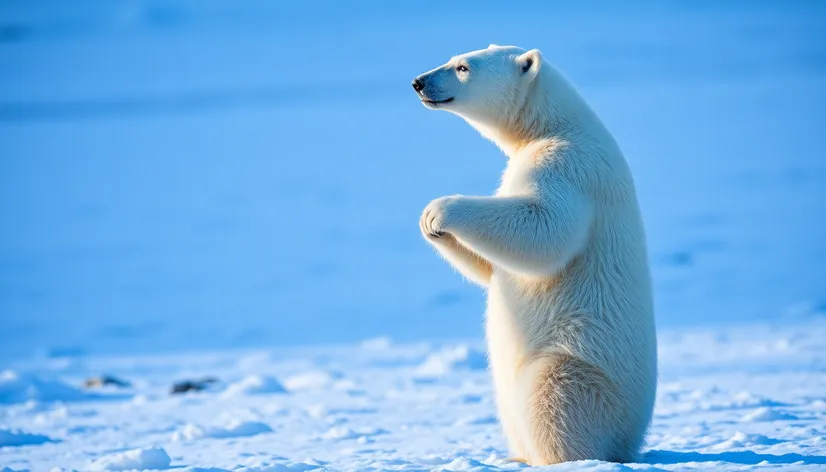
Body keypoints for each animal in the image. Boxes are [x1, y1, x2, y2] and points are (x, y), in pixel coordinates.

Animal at [412, 45, 656, 464]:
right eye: (455, 57)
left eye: (463, 67)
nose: (419, 82)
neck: (557, 124)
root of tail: (632, 440)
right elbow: (491, 264)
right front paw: (429, 225)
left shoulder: (569, 164)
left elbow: (544, 229)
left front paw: (440, 209)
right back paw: (515, 456)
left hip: (580, 361)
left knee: (553, 394)